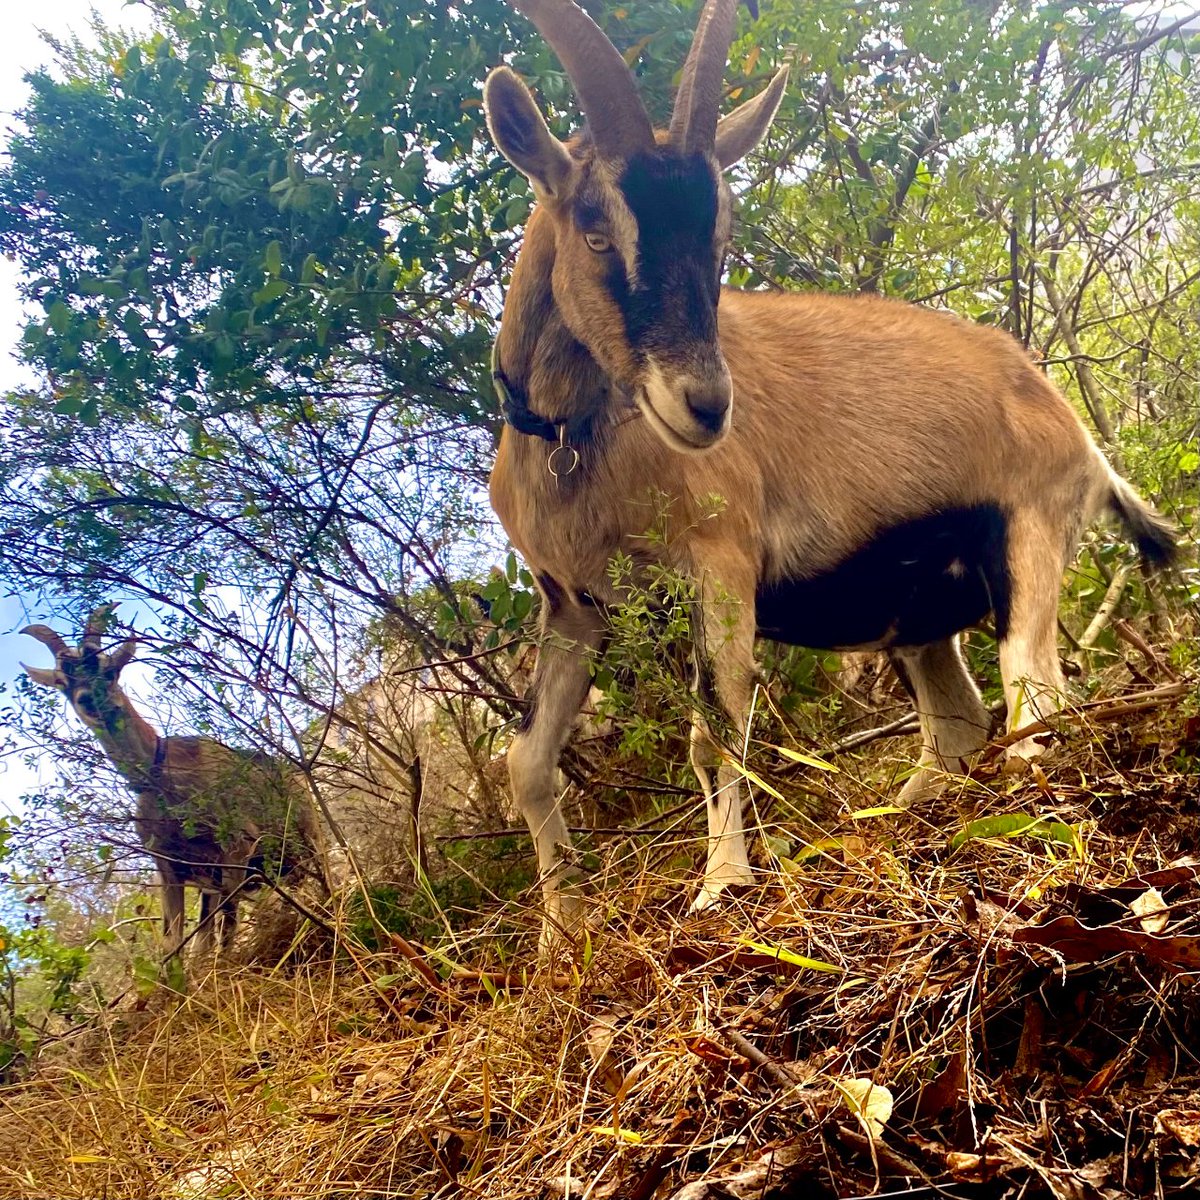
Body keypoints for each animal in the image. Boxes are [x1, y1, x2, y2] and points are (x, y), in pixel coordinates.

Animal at [22, 605, 325, 957]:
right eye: (61, 681)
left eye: (109, 669)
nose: (90, 699)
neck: (161, 779)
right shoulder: (169, 867)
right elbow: (174, 942)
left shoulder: (236, 847)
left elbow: (227, 926)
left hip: (304, 840)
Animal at [482, 0, 1178, 951]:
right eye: (595, 228)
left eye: (720, 239)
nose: (706, 405)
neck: (578, 440)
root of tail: (1061, 413)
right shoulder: (574, 604)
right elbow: (527, 761)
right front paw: (561, 932)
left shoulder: (720, 566)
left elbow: (714, 731)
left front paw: (721, 885)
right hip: (921, 617)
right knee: (959, 723)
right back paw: (906, 815)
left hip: (1027, 541)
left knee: (1036, 695)